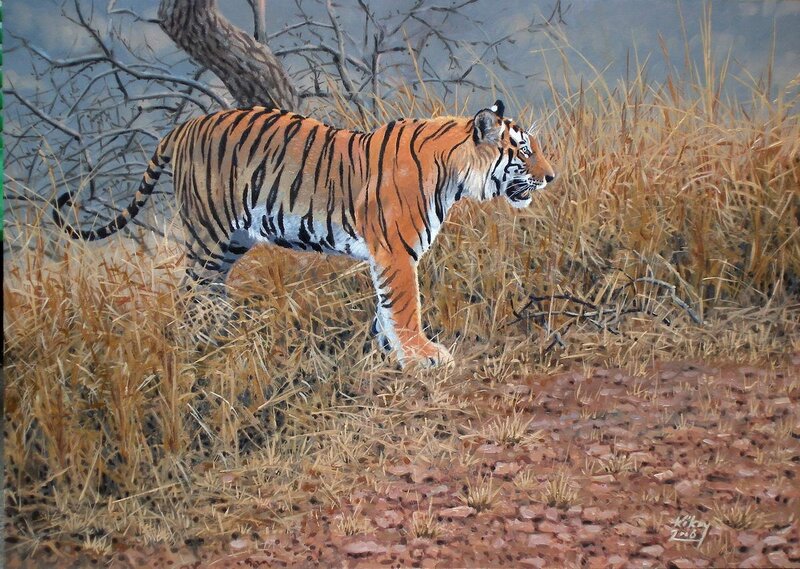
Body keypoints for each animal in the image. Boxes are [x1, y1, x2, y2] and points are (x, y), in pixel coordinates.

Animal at [53, 100, 556, 368]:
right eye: (523, 151)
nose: (551, 177)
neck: (455, 174)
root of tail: (185, 125)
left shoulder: (386, 256)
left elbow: (386, 310)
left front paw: (387, 356)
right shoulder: (396, 252)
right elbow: (405, 307)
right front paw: (423, 356)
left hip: (231, 242)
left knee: (209, 291)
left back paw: (225, 334)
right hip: (208, 233)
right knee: (189, 294)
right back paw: (204, 346)